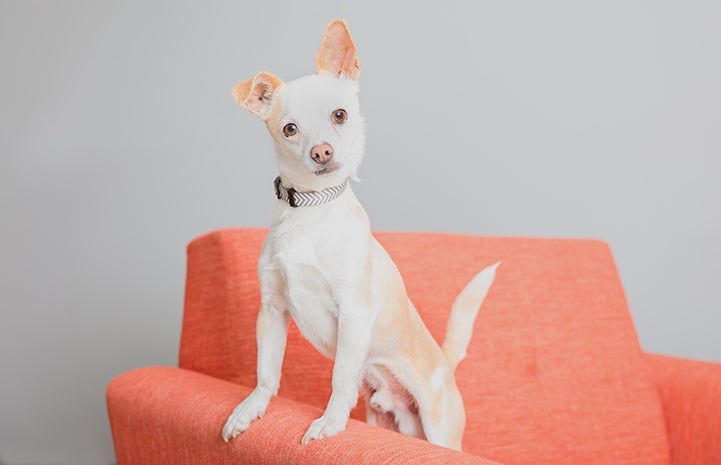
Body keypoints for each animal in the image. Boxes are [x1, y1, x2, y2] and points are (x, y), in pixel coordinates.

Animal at [222, 19, 498, 450]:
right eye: (290, 129)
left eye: (340, 115)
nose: (321, 152)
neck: (310, 210)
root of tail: (445, 365)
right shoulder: (271, 311)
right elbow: (266, 372)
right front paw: (249, 410)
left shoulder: (352, 313)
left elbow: (340, 377)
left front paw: (330, 423)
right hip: (388, 418)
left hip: (439, 430)